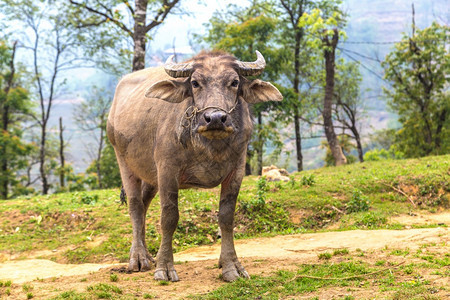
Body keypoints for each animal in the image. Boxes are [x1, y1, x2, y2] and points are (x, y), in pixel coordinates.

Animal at [107, 50, 282, 282]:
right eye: (195, 83)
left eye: (234, 82)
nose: (215, 118)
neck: (210, 146)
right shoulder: (167, 170)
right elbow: (169, 218)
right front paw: (164, 268)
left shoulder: (236, 170)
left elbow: (226, 217)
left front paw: (231, 266)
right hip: (124, 161)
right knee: (135, 206)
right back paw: (138, 258)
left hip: (150, 176)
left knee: (143, 204)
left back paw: (147, 255)